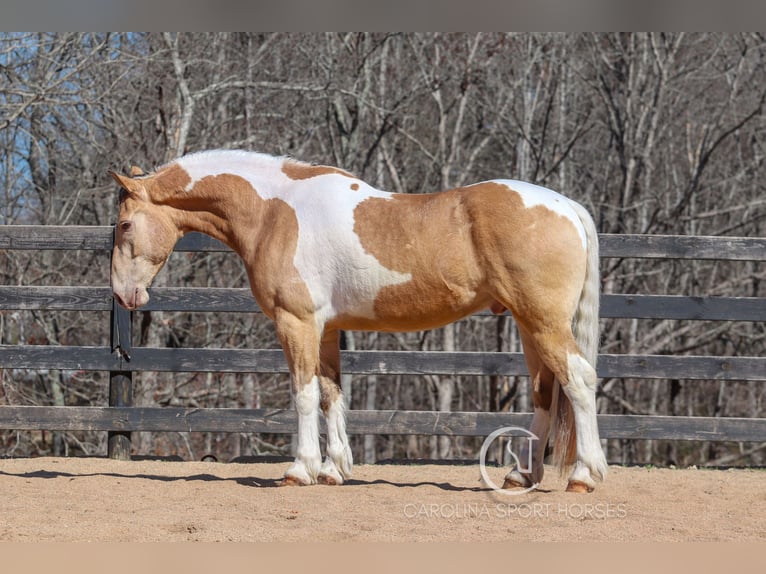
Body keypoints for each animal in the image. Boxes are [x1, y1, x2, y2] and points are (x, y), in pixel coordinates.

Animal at [109, 150, 612, 496]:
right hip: (529, 326)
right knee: (547, 391)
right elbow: (331, 394)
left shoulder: (297, 323)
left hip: (543, 323)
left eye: (125, 225)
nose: (122, 294)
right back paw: (520, 475)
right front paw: (333, 470)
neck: (275, 211)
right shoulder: (327, 330)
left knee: (579, 380)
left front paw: (300, 470)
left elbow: (303, 394)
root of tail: (566, 206)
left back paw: (584, 475)